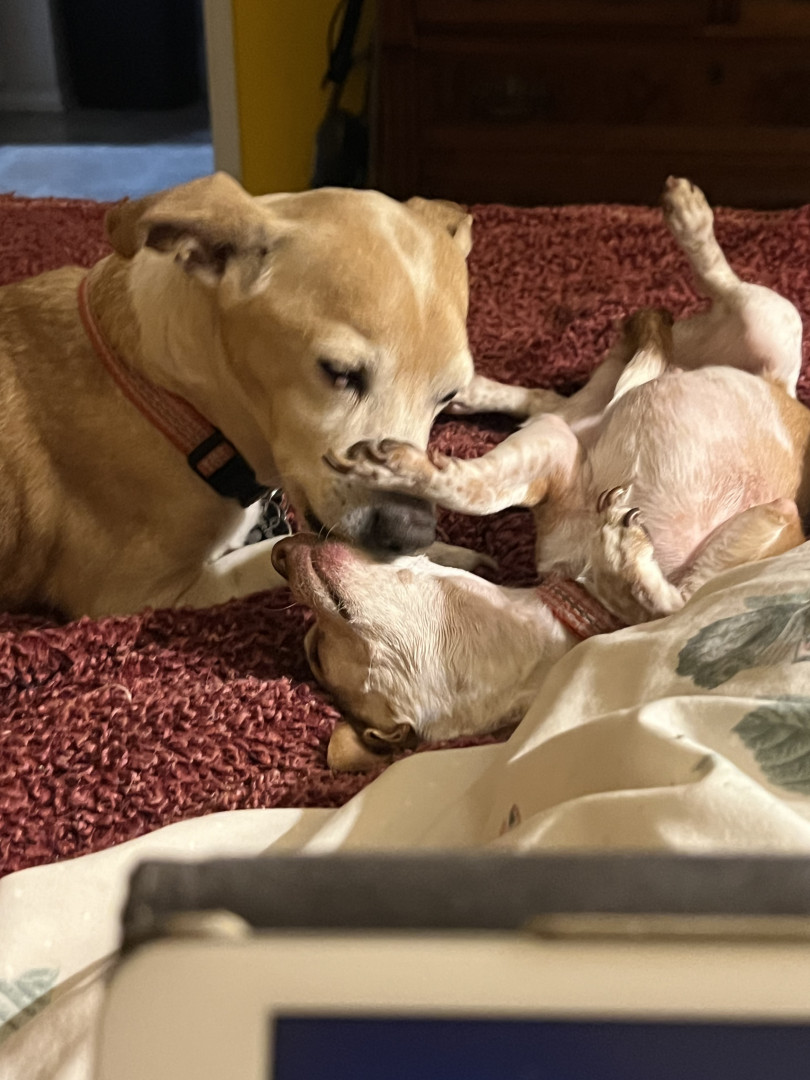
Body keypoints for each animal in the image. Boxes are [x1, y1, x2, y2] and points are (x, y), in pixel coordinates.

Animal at [0, 172, 475, 617]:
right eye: (338, 372)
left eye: (449, 393)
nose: (411, 531)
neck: (174, 397)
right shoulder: (137, 593)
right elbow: (276, 553)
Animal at [272, 177, 810, 772]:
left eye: (316, 654)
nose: (279, 551)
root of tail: (781, 387)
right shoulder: (555, 453)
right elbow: (482, 486)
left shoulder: (777, 516)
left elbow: (678, 599)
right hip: (714, 346)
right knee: (583, 383)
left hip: (769, 324)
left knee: (711, 298)